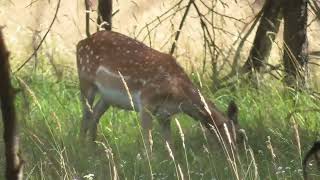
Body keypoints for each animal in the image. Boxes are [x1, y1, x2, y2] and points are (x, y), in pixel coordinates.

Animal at [76, 30, 241, 152]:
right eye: (238, 135)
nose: (235, 154)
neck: (178, 94)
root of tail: (81, 42)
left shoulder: (165, 115)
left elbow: (170, 145)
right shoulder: (146, 103)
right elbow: (148, 141)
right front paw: (150, 163)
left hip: (107, 97)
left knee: (95, 114)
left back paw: (93, 148)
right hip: (85, 81)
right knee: (86, 115)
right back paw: (83, 149)